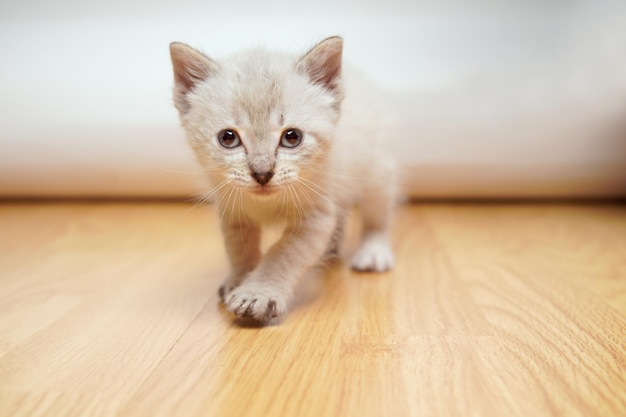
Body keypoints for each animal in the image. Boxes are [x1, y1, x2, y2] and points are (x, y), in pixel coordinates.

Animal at [169, 36, 394, 322]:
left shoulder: (315, 217)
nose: (262, 173)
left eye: (292, 137)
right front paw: (239, 280)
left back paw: (373, 253)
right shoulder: (233, 210)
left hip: (378, 174)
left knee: (378, 217)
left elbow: (283, 254)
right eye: (228, 138)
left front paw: (257, 293)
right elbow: (239, 248)